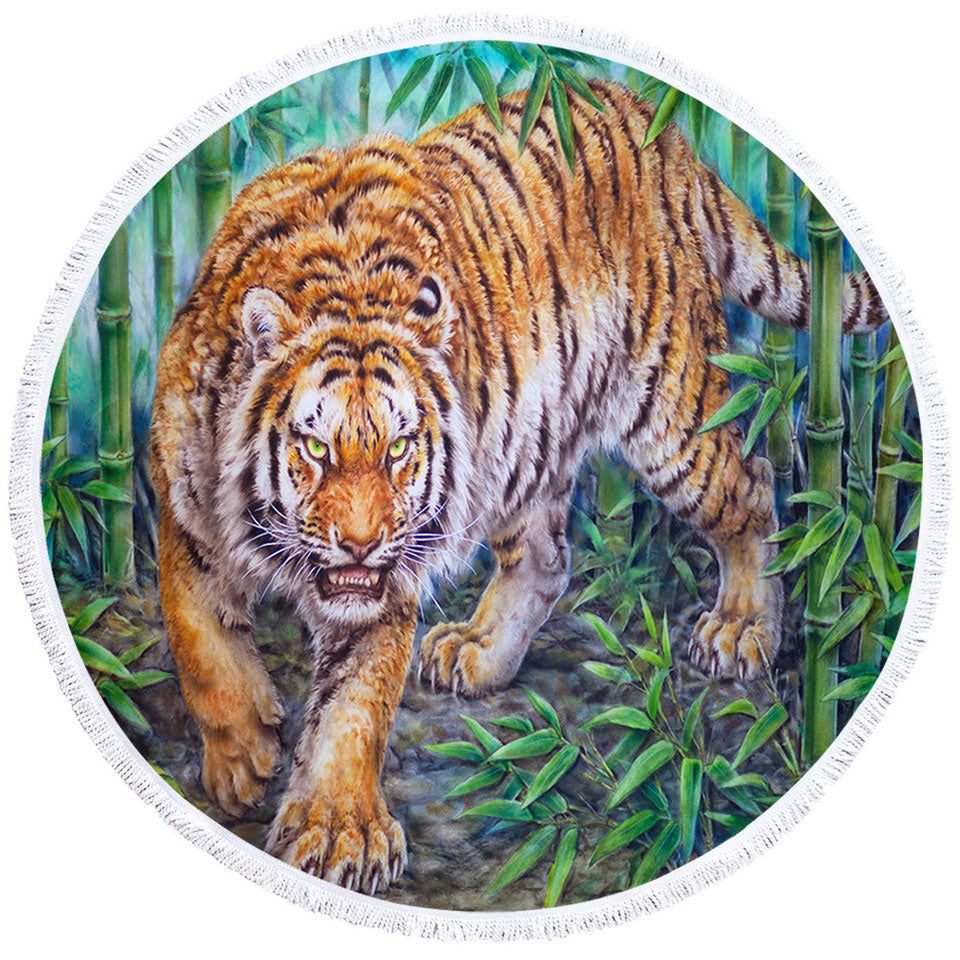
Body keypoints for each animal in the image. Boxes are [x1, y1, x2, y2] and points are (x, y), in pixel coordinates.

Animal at [150, 79, 888, 894]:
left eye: (399, 448)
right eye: (315, 446)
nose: (363, 545)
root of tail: (651, 117)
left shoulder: (385, 577)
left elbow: (353, 701)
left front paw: (340, 832)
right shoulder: (185, 510)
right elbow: (199, 642)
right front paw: (244, 754)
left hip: (672, 411)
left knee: (754, 489)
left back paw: (741, 626)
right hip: (523, 444)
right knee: (546, 558)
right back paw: (476, 650)